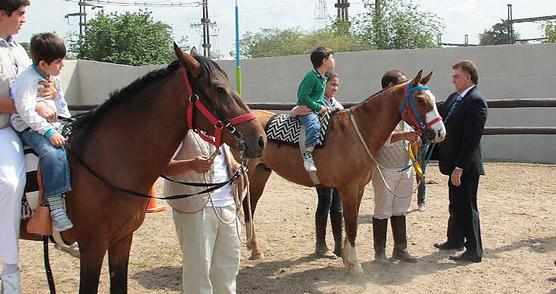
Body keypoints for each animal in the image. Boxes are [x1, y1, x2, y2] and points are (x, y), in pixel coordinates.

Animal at [243, 70, 448, 276]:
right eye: (421, 100)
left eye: (433, 99)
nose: (440, 132)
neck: (359, 132)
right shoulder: (349, 189)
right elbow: (350, 225)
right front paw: (355, 266)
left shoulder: (359, 189)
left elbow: (351, 223)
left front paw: (347, 261)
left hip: (261, 174)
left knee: (249, 206)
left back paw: (255, 249)